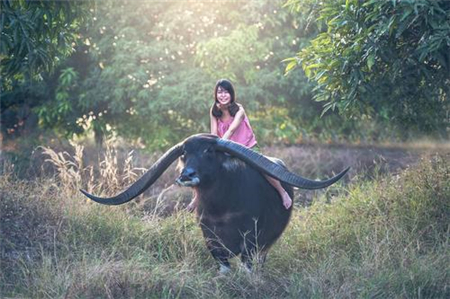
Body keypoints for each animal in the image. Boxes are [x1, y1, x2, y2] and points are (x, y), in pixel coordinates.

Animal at [80, 135, 348, 274]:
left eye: (209, 151)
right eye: (184, 153)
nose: (186, 175)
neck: (222, 209)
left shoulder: (251, 241)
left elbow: (247, 266)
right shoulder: (210, 237)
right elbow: (223, 265)